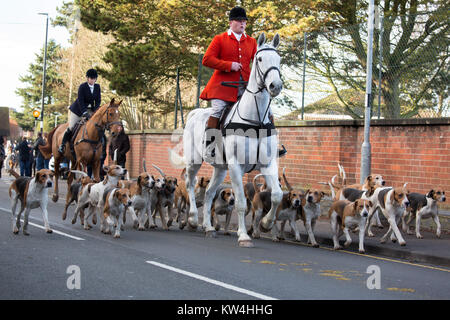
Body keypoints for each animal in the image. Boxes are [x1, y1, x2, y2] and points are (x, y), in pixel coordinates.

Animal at [171, 33, 282, 248]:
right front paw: (244, 236)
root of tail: (195, 113)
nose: (275, 86)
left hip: (220, 169)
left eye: (279, 59)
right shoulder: (236, 165)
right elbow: (240, 202)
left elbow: (277, 195)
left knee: (208, 193)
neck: (255, 120)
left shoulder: (269, 164)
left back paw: (208, 227)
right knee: (189, 184)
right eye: (260, 59)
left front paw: (266, 223)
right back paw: (192, 218)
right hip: (194, 161)